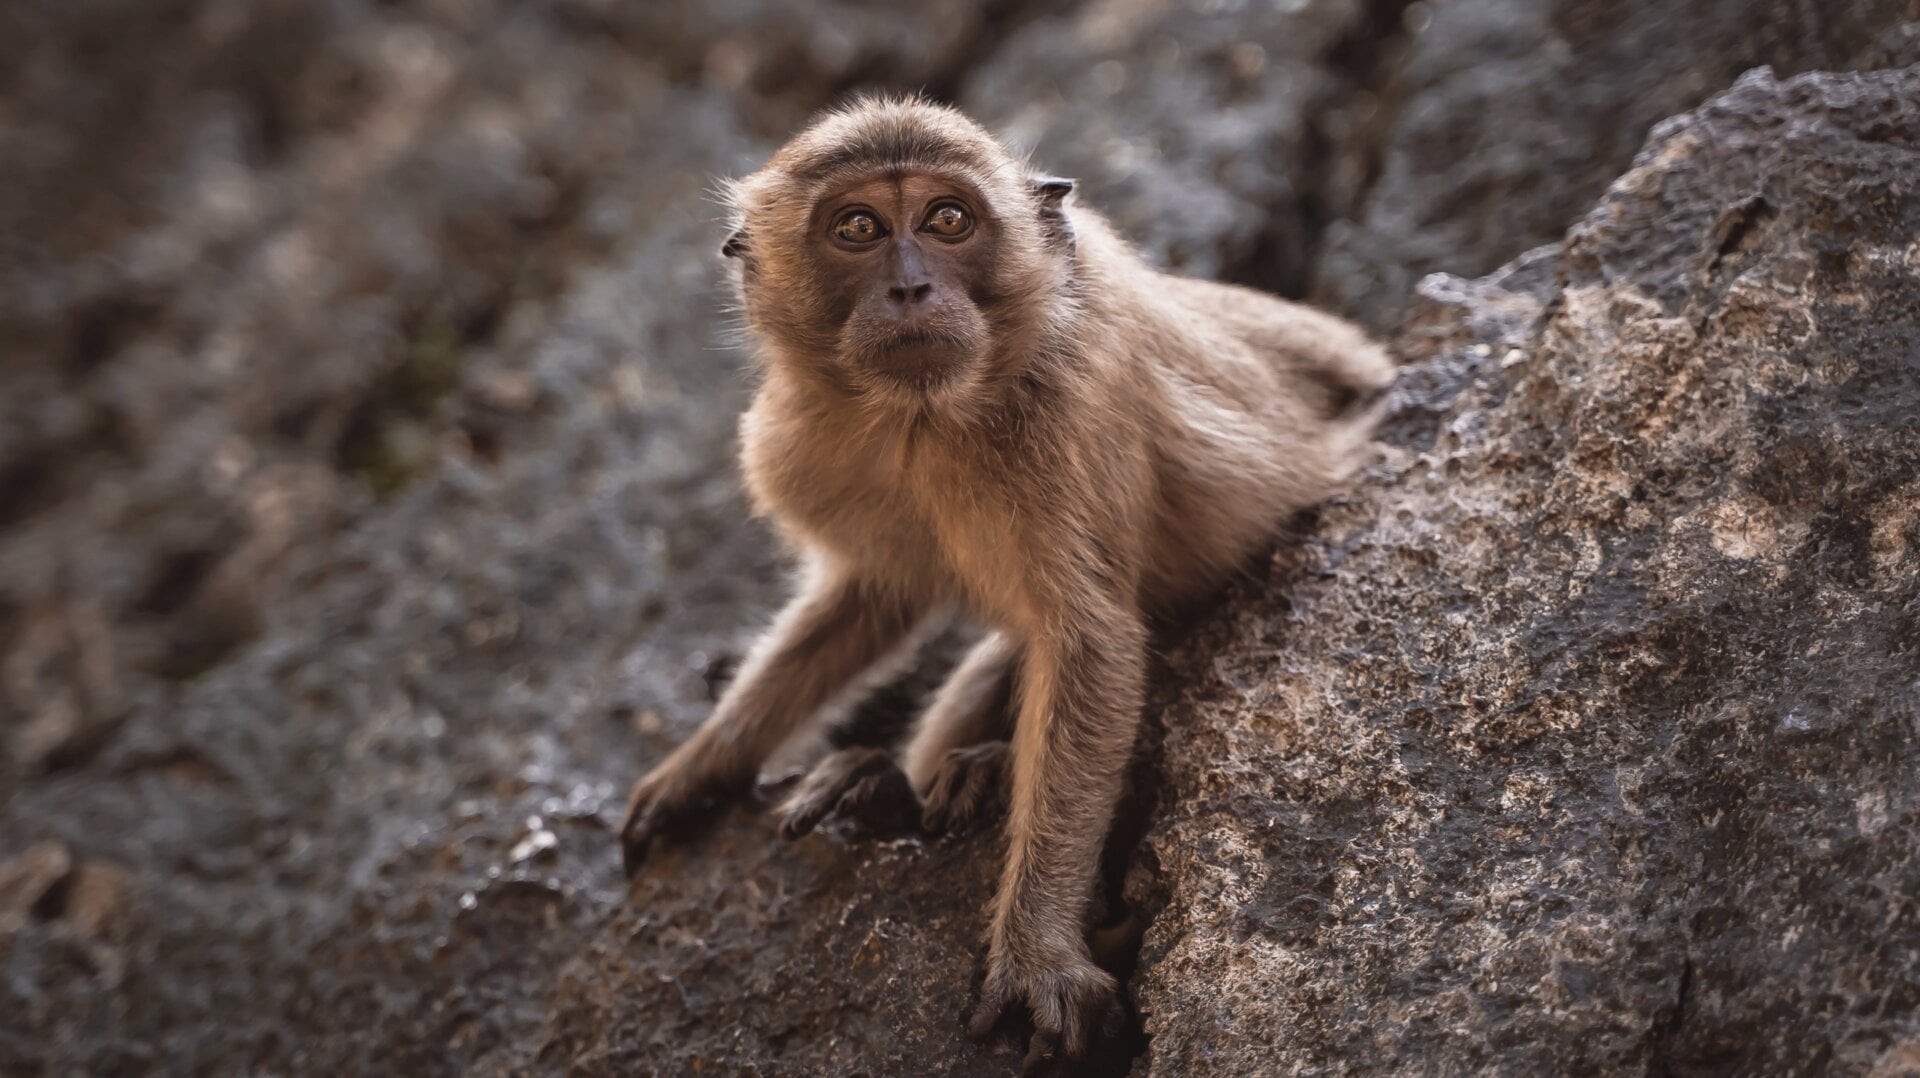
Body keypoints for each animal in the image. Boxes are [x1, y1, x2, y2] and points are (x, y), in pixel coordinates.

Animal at [620, 96, 1394, 1071]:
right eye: (858, 228)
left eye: (947, 220)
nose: (911, 289)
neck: (922, 417)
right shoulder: (812, 443)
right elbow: (873, 598)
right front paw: (705, 763)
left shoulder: (1061, 411)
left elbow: (1090, 644)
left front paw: (1037, 954)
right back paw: (889, 793)